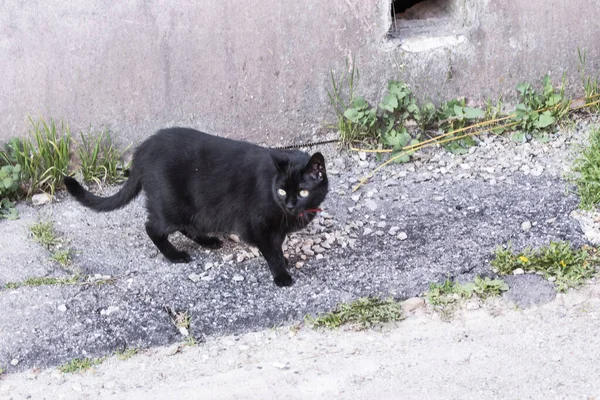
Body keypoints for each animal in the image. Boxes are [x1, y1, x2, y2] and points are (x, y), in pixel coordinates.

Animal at [63, 128, 330, 288]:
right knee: (153, 227)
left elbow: (278, 245)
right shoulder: (259, 226)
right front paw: (282, 274)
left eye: (302, 192)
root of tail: (142, 150)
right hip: (172, 205)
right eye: (282, 191)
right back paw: (175, 255)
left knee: (186, 227)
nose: (290, 204)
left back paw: (208, 241)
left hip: (194, 209)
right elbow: (271, 251)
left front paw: (284, 260)